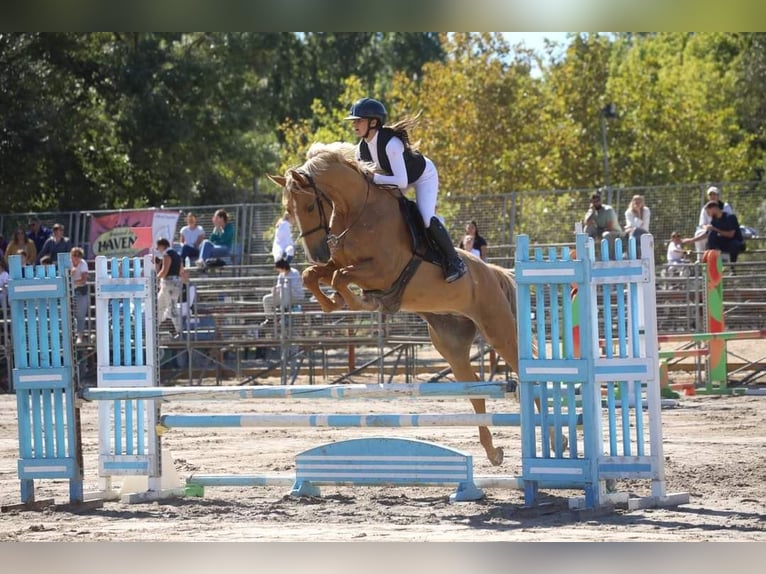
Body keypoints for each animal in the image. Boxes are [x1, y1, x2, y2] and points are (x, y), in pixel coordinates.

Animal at [268, 142, 561, 466]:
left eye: (309, 207)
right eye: (288, 211)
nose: (317, 252)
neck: (358, 213)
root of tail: (491, 272)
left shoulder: (383, 270)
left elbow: (339, 277)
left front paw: (359, 300)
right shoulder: (341, 262)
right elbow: (316, 275)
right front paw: (335, 301)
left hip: (498, 330)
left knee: (524, 374)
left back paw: (555, 442)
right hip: (451, 344)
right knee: (474, 391)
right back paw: (493, 452)